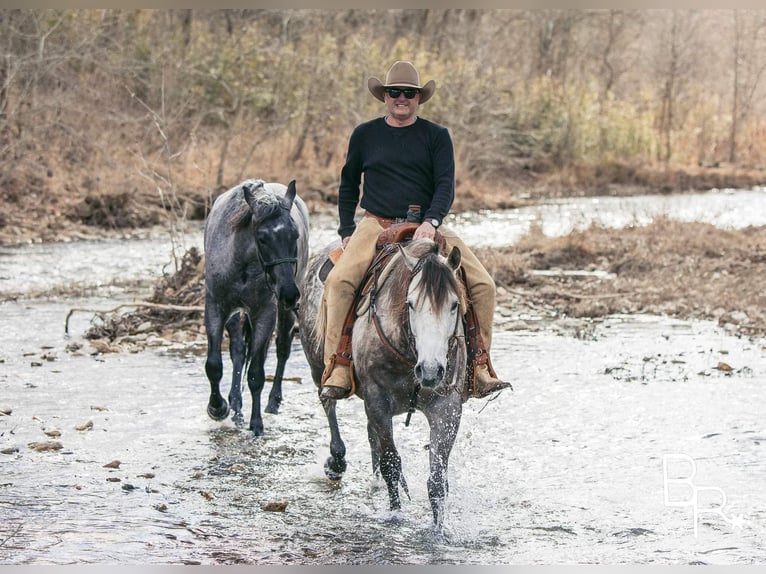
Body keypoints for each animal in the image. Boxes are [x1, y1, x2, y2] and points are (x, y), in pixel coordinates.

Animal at [207, 180, 312, 436]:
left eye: (294, 235)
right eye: (262, 238)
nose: (289, 293)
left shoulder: (265, 313)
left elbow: (256, 373)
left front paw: (256, 424)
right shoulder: (216, 308)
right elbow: (214, 365)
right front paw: (218, 408)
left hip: (281, 312)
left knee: (281, 348)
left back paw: (273, 402)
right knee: (238, 351)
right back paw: (235, 404)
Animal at [300, 237, 468, 528]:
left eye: (454, 304)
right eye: (410, 304)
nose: (431, 370)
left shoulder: (447, 407)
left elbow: (437, 478)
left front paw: (438, 529)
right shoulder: (378, 401)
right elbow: (392, 463)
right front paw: (395, 514)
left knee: (371, 437)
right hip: (319, 369)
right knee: (328, 404)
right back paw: (336, 461)